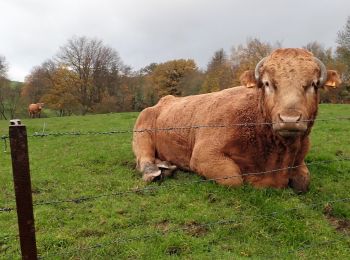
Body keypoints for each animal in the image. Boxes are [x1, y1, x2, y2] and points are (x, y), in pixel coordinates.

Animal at [133, 48, 340, 193]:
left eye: (314, 84)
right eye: (267, 83)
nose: (290, 119)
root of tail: (165, 100)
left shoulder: (299, 160)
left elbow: (303, 181)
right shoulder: (204, 155)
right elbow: (234, 179)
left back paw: (166, 166)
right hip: (142, 134)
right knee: (143, 158)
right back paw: (155, 170)